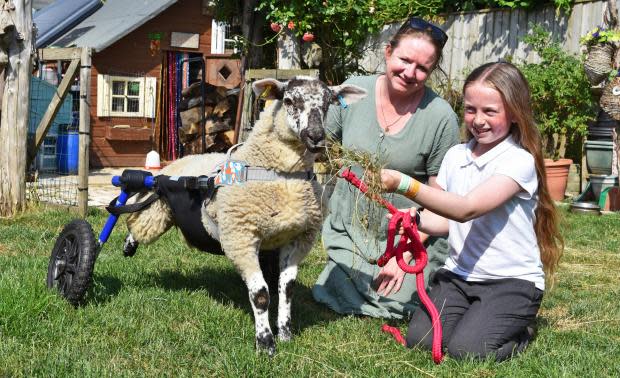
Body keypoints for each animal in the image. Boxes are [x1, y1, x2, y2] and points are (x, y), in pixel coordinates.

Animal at [120, 76, 366, 354]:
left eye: (327, 104)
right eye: (289, 100)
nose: (315, 136)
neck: (281, 174)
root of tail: (179, 162)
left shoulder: (299, 239)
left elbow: (287, 289)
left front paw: (285, 333)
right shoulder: (241, 238)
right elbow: (260, 294)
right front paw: (265, 343)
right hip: (157, 209)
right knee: (133, 220)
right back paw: (127, 246)